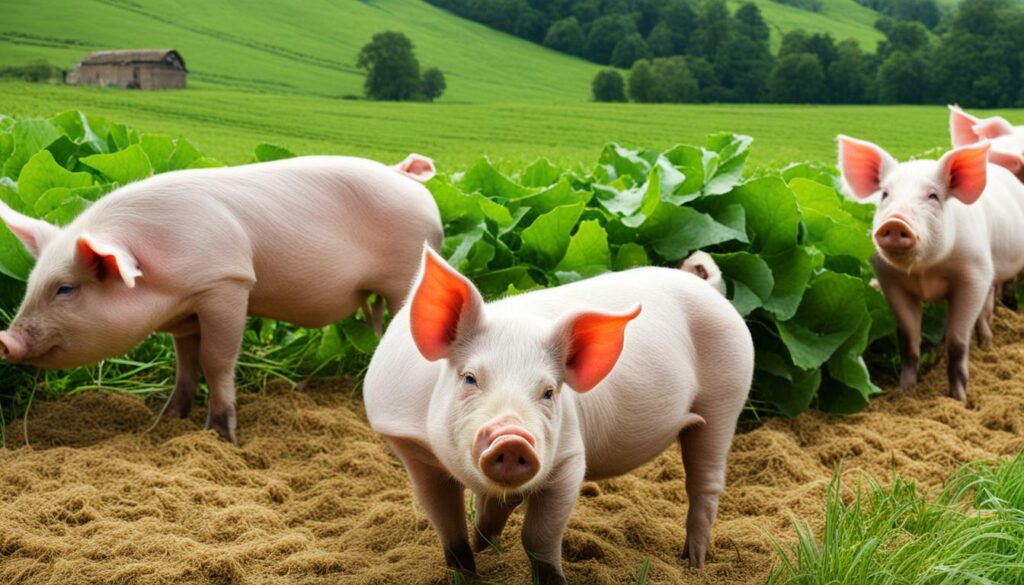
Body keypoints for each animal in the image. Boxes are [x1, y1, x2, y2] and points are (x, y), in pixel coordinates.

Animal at [0, 154, 443, 442]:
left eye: (65, 289)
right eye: (31, 283)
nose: (6, 339)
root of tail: (408, 179)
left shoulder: (227, 282)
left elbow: (216, 359)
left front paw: (219, 435)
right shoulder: (183, 314)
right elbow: (185, 364)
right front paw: (169, 420)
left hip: (407, 275)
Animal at [363, 247, 753, 583]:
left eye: (549, 391)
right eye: (469, 378)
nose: (512, 438)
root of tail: (707, 288)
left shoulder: (569, 457)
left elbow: (538, 538)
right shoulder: (412, 449)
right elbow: (449, 528)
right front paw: (471, 568)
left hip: (727, 394)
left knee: (705, 482)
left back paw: (694, 564)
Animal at [838, 135, 1024, 402]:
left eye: (933, 196)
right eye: (885, 194)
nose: (896, 221)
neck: (925, 270)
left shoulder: (974, 275)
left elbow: (957, 343)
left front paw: (959, 400)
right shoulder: (889, 280)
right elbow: (908, 340)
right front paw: (904, 393)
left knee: (986, 310)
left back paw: (987, 346)